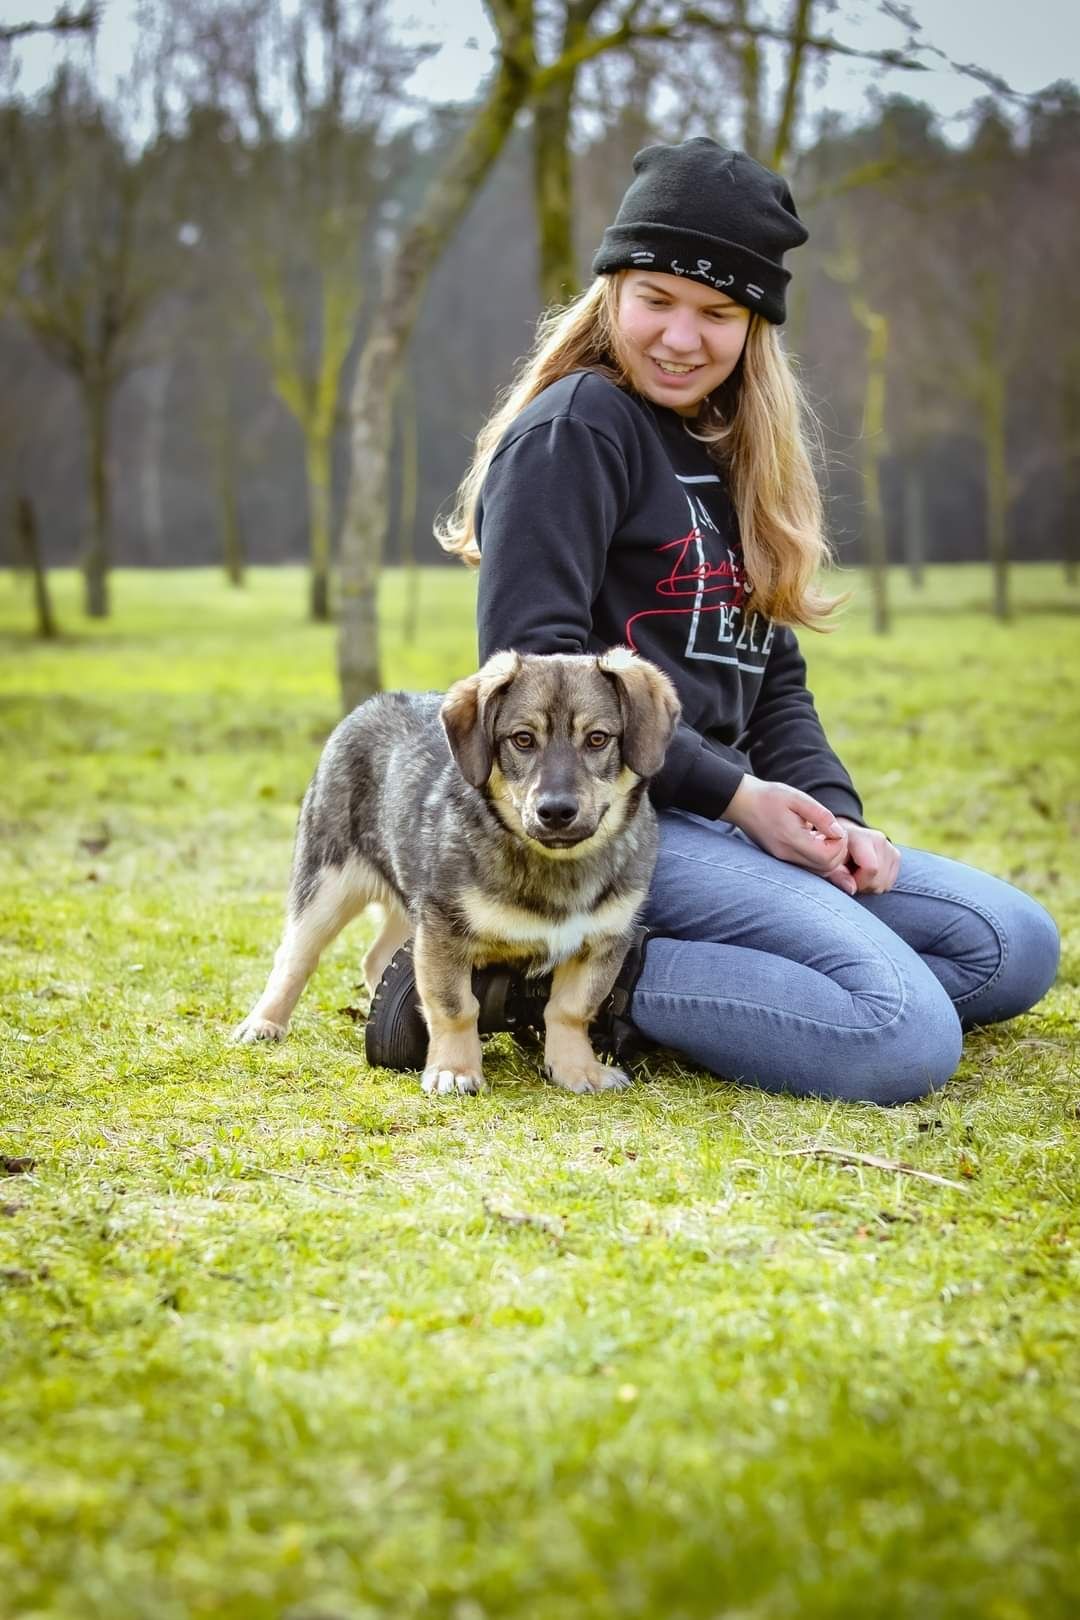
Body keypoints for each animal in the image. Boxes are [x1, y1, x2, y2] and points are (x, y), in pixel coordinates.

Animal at [233, 651, 680, 1095]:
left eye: (598, 739)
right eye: (522, 739)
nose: (555, 812)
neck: (555, 865)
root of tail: (374, 701)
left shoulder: (604, 939)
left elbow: (570, 1009)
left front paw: (577, 1070)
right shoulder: (443, 929)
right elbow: (455, 1006)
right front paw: (454, 1069)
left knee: (376, 956)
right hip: (327, 880)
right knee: (296, 956)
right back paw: (263, 1023)